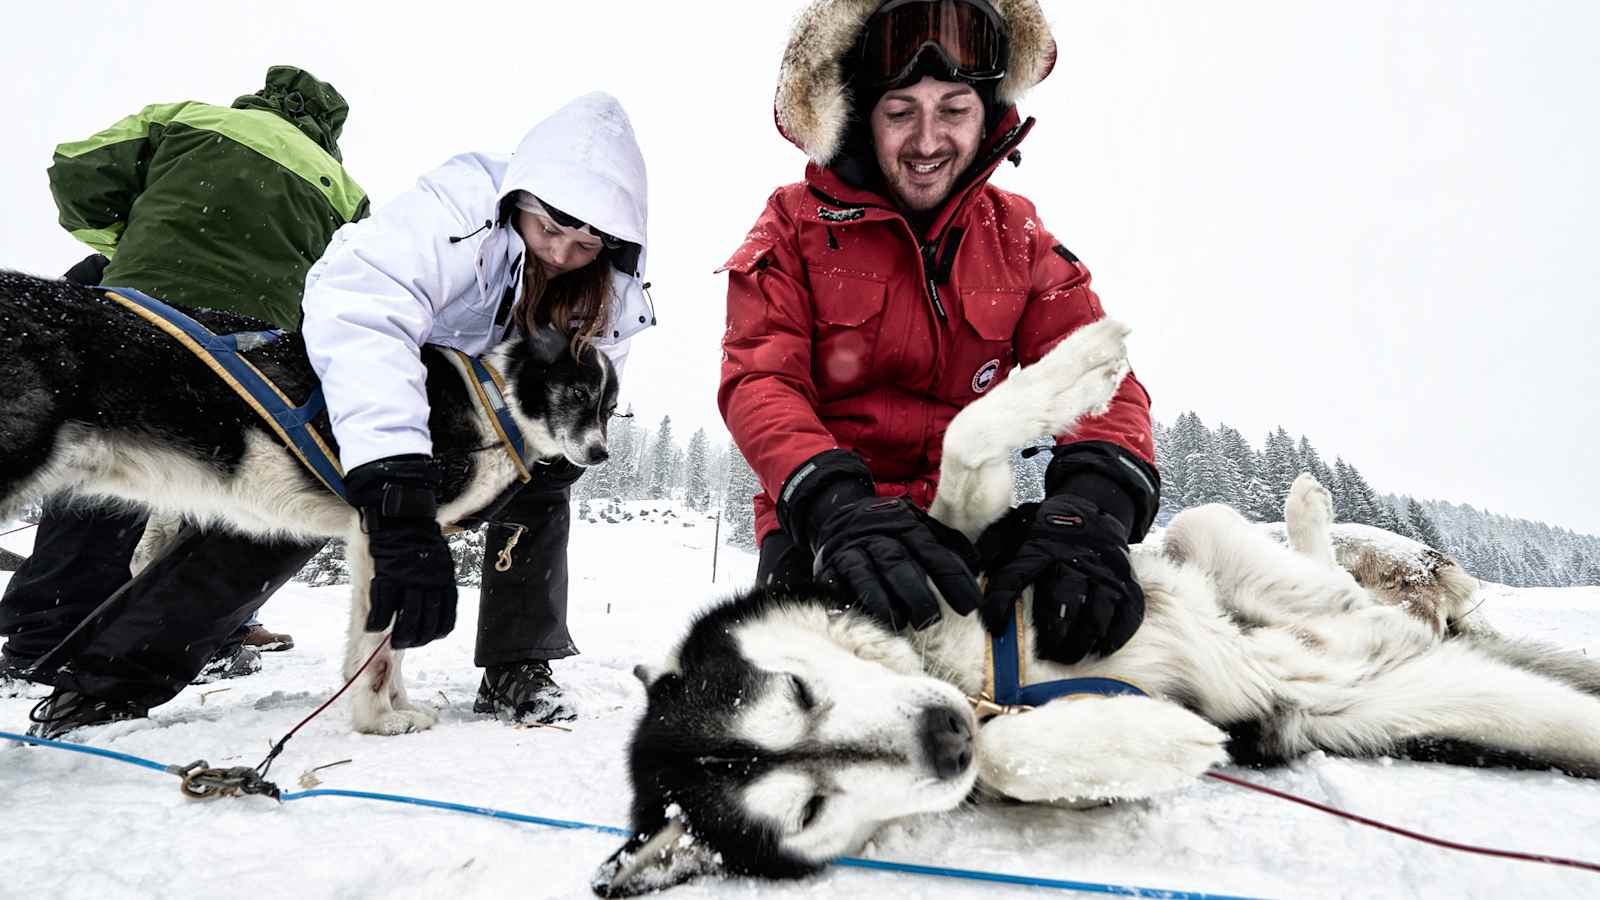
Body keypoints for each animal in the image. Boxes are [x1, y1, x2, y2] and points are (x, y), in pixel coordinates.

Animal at [0, 269, 617, 733]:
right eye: (579, 392)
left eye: (609, 408)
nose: (600, 453)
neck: (493, 397)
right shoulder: (389, 538)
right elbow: (378, 651)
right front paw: (378, 720)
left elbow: (389, 648)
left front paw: (398, 706)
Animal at [595, 313, 1600, 890]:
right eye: (808, 807)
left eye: (800, 692)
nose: (943, 734)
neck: (966, 678)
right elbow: (1013, 761)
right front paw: (1145, 738)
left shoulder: (970, 545)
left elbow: (967, 440)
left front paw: (1075, 365)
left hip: (1209, 533)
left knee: (1319, 575)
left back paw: (1315, 515)